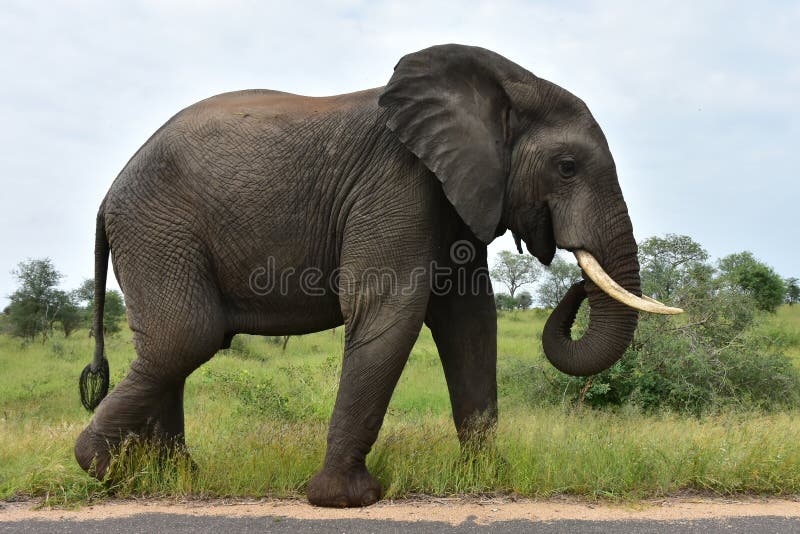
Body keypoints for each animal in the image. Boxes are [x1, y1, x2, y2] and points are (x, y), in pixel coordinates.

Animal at [75, 44, 680, 508]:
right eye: (567, 168)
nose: (575, 279)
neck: (503, 87)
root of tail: (105, 197)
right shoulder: (397, 180)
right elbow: (392, 312)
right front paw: (346, 500)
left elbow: (471, 323)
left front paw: (490, 477)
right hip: (159, 231)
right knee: (187, 338)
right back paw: (106, 470)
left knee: (174, 347)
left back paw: (173, 479)